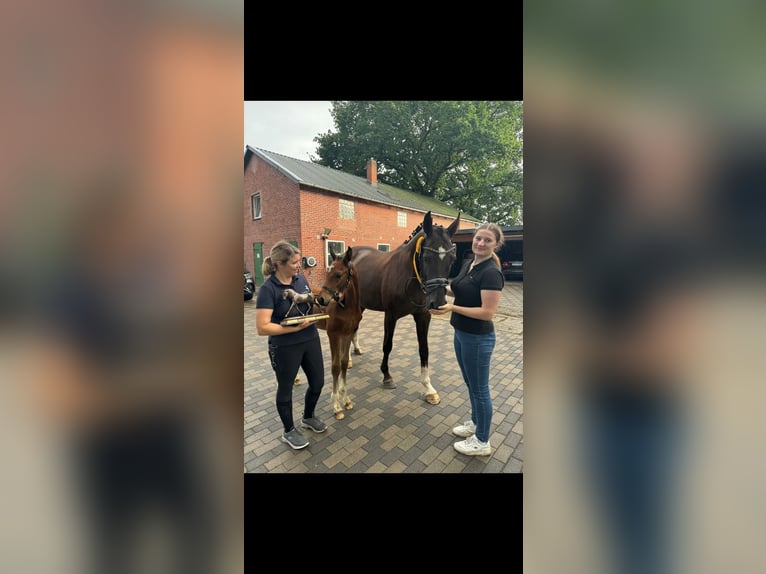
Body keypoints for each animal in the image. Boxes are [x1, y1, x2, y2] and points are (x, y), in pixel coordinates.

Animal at [314, 245, 364, 420]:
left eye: (338, 275)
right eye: (327, 272)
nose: (321, 299)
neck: (345, 307)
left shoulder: (347, 334)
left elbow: (343, 363)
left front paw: (346, 400)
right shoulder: (333, 335)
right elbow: (335, 367)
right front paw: (336, 406)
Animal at [352, 212, 460, 404]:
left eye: (452, 260)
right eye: (426, 258)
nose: (438, 303)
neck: (409, 276)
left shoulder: (423, 316)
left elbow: (424, 349)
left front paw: (428, 388)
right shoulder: (390, 315)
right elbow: (387, 345)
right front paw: (387, 376)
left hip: (361, 304)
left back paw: (356, 348)